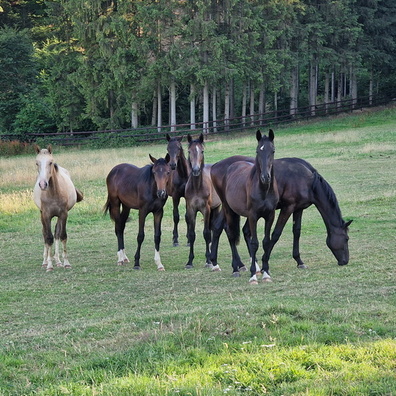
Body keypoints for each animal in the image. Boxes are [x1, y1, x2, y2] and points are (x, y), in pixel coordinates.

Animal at [185, 135, 224, 270]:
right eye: (189, 151)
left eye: (202, 151)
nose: (196, 170)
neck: (197, 186)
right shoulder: (191, 209)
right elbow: (192, 235)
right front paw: (189, 261)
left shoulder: (206, 209)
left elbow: (206, 233)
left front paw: (208, 260)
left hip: (216, 208)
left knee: (212, 229)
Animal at [210, 128, 278, 284]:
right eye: (258, 151)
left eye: (272, 150)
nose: (265, 177)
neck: (263, 189)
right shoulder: (253, 216)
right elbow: (254, 243)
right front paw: (253, 276)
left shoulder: (270, 216)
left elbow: (266, 242)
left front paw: (266, 273)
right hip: (227, 208)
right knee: (229, 232)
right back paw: (235, 268)